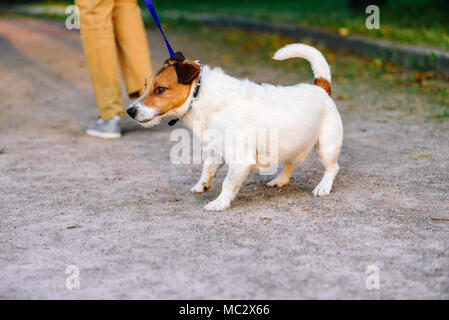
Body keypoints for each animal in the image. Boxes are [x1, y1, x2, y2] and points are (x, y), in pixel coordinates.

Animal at [126, 43, 344, 212]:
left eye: (160, 90)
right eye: (145, 86)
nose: (130, 111)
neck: (201, 96)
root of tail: (320, 86)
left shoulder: (240, 159)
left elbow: (228, 183)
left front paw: (219, 203)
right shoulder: (217, 148)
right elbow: (208, 166)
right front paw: (202, 184)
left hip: (327, 147)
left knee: (332, 168)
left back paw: (323, 187)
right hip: (290, 142)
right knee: (290, 162)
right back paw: (281, 180)